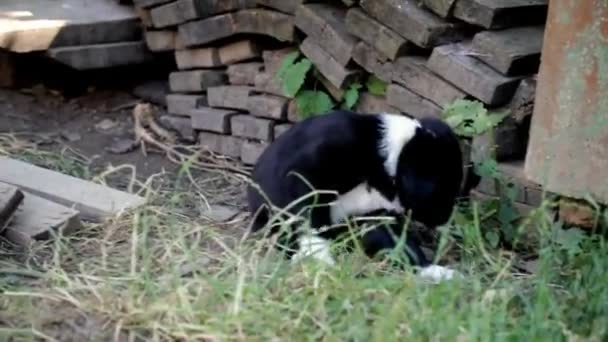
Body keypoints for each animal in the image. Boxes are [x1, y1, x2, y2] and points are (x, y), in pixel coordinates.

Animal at [245, 110, 464, 284]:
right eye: (443, 187)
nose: (446, 219)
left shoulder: (377, 215)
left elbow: (401, 244)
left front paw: (431, 270)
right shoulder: (304, 172)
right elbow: (310, 217)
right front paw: (318, 257)